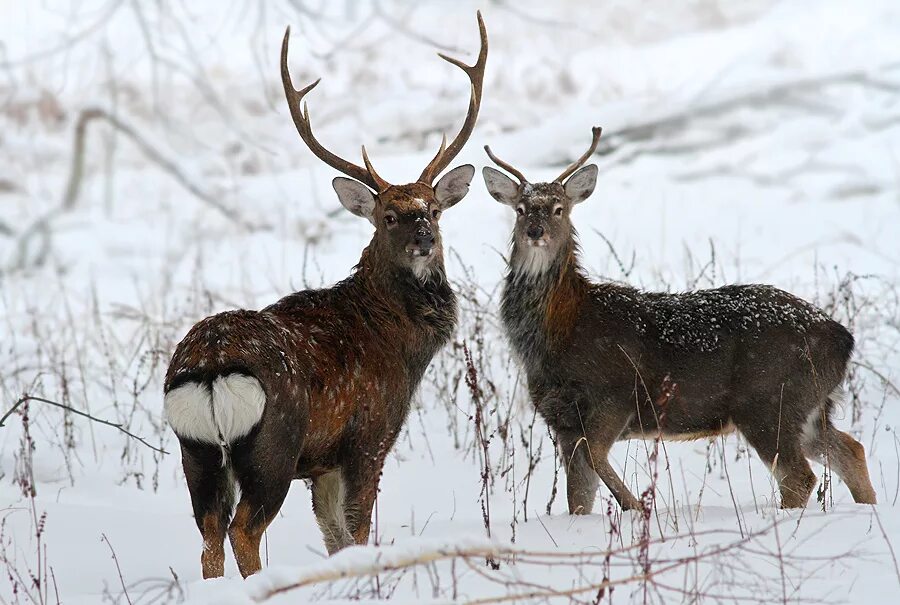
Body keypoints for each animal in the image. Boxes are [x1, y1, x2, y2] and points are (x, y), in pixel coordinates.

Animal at [162, 14, 486, 580]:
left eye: (433, 209)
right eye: (389, 216)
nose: (424, 239)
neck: (399, 343)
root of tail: (210, 369)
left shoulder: (324, 462)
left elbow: (336, 537)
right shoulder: (369, 435)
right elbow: (355, 529)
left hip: (195, 452)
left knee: (208, 536)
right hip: (274, 445)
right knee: (243, 530)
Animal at [482, 127, 876, 516]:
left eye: (558, 208)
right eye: (520, 209)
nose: (535, 231)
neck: (560, 329)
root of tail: (843, 339)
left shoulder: (614, 396)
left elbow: (595, 459)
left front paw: (638, 508)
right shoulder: (561, 419)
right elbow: (579, 496)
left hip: (769, 400)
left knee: (799, 477)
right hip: (808, 406)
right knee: (851, 450)